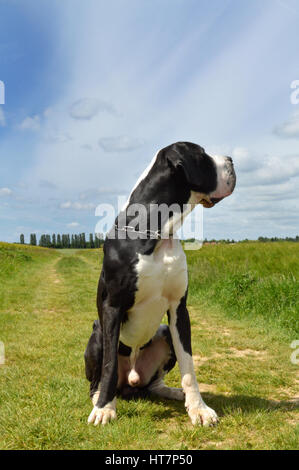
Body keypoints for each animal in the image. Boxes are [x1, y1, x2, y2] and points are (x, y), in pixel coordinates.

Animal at [85, 142, 237, 426]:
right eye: (201, 154)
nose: (231, 159)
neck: (157, 232)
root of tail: (131, 381)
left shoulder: (179, 308)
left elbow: (189, 365)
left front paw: (198, 408)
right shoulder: (112, 307)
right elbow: (109, 365)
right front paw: (104, 409)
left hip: (163, 334)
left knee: (154, 384)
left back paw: (173, 392)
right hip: (97, 333)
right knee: (99, 377)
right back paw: (99, 396)